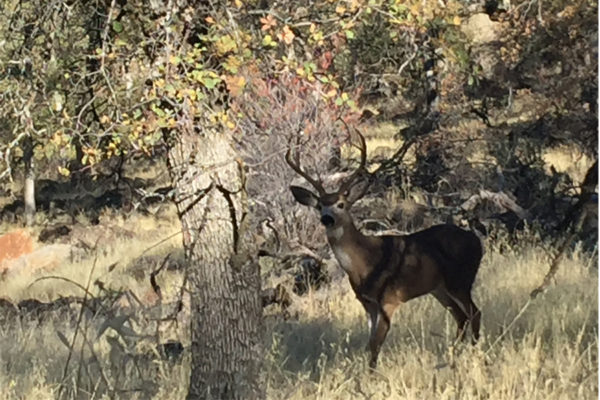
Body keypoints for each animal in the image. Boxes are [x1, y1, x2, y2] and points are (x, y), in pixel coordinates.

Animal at [286, 129, 482, 368]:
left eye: (341, 204)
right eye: (320, 205)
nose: (327, 219)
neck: (365, 263)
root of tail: (476, 240)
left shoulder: (390, 298)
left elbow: (375, 345)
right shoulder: (367, 303)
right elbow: (369, 344)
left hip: (460, 280)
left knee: (475, 313)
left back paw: (472, 353)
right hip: (439, 288)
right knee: (461, 316)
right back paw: (453, 355)